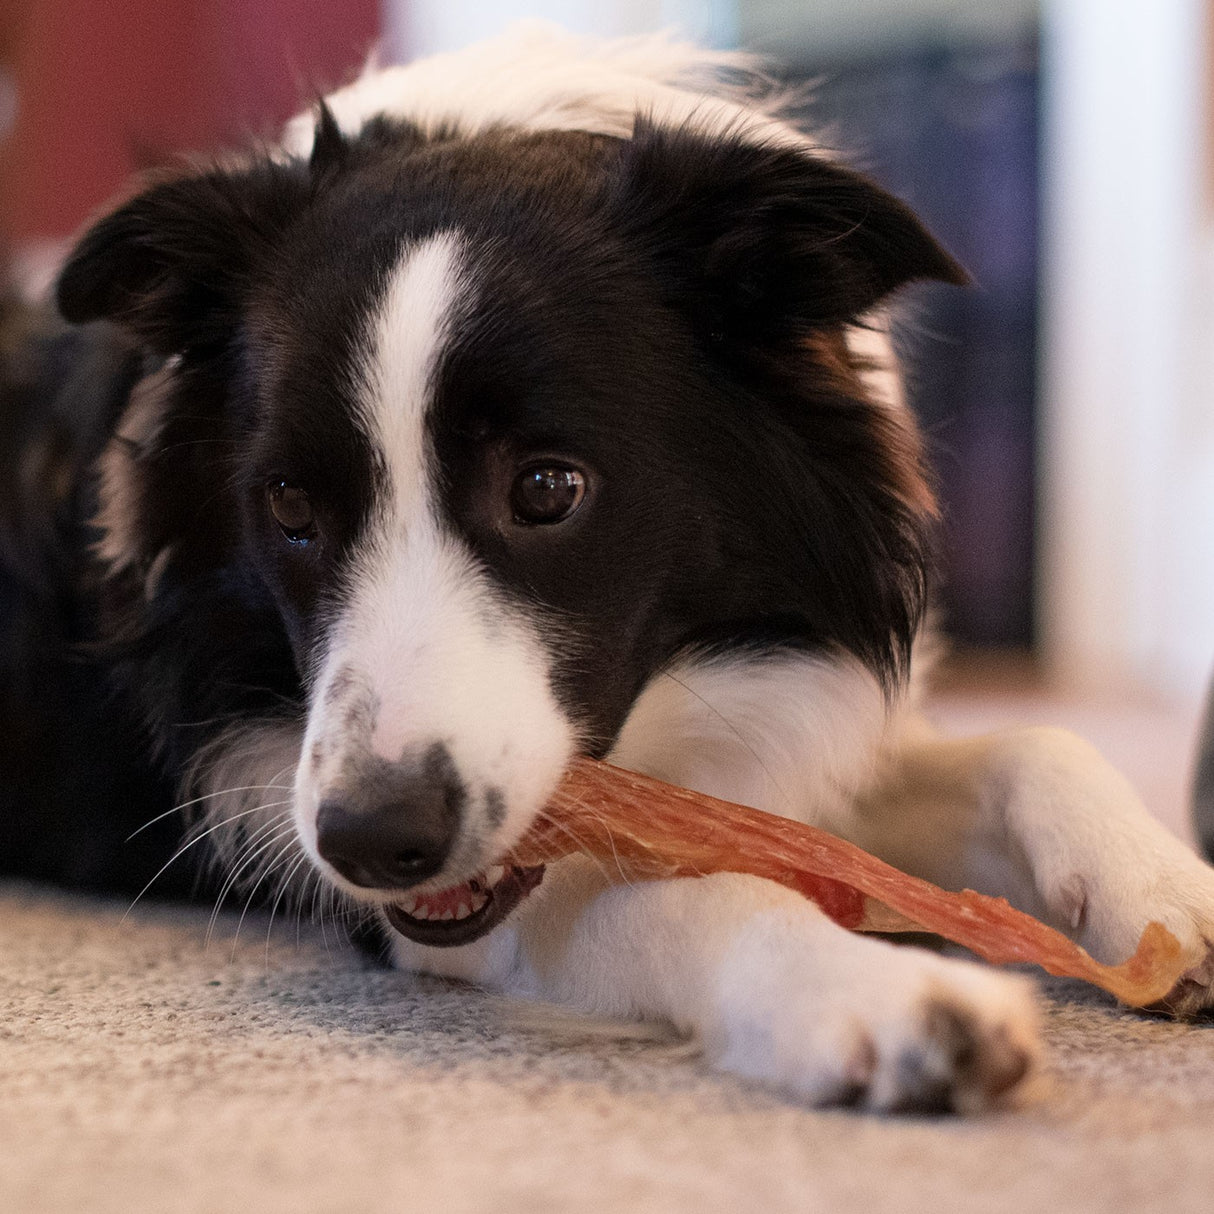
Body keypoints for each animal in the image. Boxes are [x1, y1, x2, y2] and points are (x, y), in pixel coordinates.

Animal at [2, 26, 1214, 1112]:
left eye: (547, 487)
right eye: (290, 505)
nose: (372, 839)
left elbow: (1036, 743)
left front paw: (1168, 892)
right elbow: (687, 900)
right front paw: (886, 993)